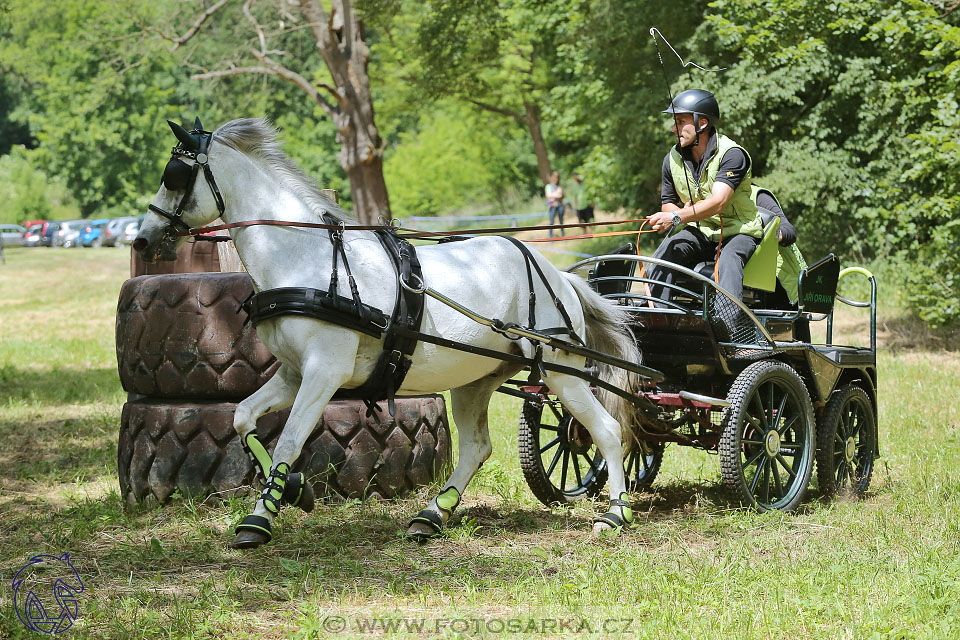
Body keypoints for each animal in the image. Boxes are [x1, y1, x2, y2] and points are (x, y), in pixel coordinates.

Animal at [135, 117, 640, 548]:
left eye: (174, 174)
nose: (142, 238)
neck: (307, 258)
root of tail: (560, 277)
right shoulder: (294, 374)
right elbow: (242, 417)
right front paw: (295, 489)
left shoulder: (325, 371)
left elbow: (291, 440)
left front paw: (258, 519)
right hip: (476, 379)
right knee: (477, 447)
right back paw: (432, 515)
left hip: (561, 371)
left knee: (607, 430)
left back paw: (615, 514)